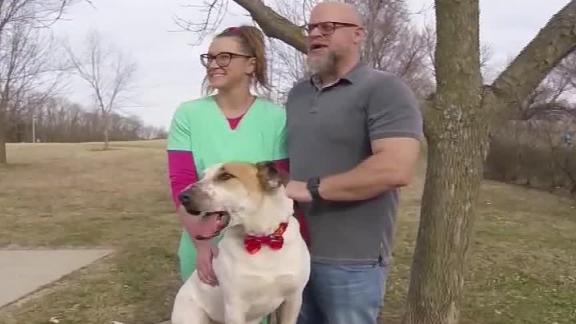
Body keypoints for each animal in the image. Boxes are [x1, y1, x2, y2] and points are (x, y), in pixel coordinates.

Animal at [170, 161, 310, 324]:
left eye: (225, 176)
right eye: (201, 176)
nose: (182, 197)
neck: (262, 240)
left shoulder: (293, 299)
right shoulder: (234, 307)